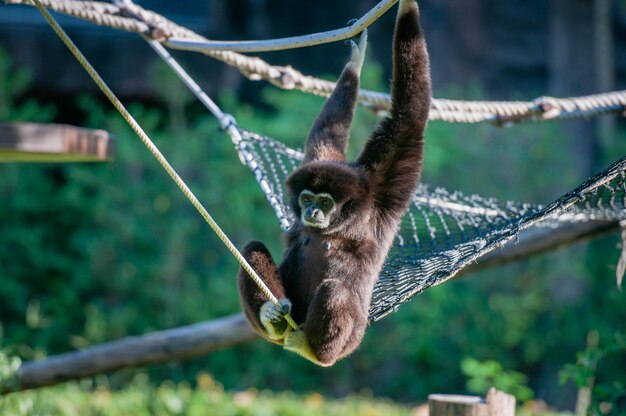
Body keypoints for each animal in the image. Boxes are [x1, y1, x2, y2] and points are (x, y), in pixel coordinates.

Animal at [235, 0, 428, 366]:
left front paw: (406, 6)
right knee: (252, 246)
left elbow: (409, 116)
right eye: (307, 198)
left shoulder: (382, 186)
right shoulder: (322, 160)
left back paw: (311, 348)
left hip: (349, 338)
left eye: (325, 202)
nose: (311, 213)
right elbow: (325, 133)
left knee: (336, 289)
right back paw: (271, 318)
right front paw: (356, 59)